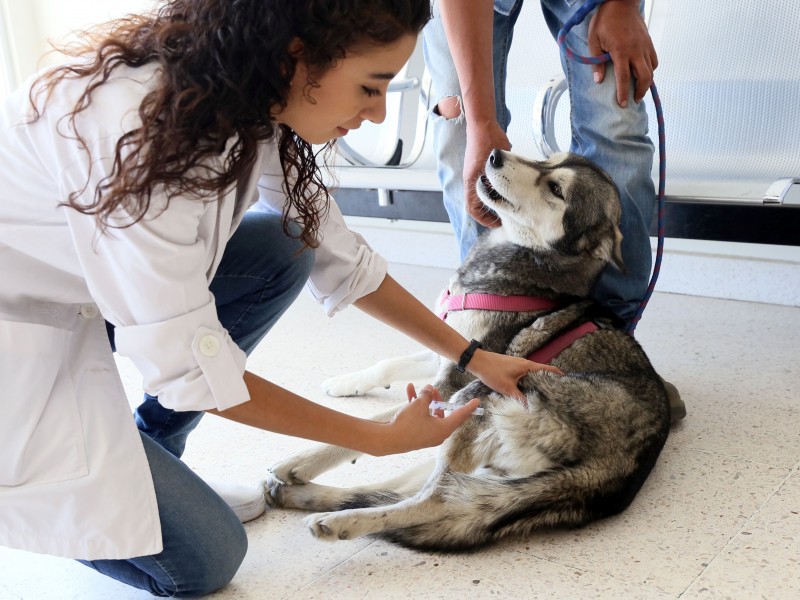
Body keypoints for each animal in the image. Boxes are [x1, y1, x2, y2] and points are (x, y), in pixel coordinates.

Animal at [266, 151, 672, 552]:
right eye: (546, 158)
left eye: (556, 189)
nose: (494, 155)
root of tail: (611, 475)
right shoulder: (450, 347)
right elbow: (388, 365)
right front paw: (344, 384)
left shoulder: (458, 378)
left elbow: (381, 420)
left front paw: (301, 459)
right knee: (398, 492)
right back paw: (301, 498)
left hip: (482, 397)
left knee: (433, 499)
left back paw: (340, 521)